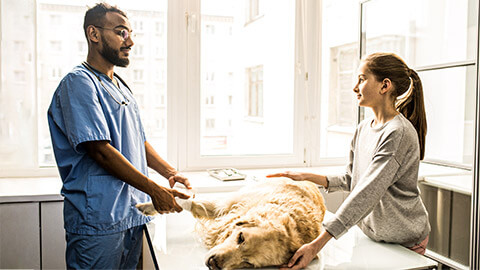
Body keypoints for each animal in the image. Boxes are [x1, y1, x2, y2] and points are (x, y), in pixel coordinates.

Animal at [137, 178, 328, 268]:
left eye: (248, 263)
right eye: (241, 237)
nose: (214, 264)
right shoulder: (228, 204)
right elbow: (186, 201)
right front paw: (146, 206)